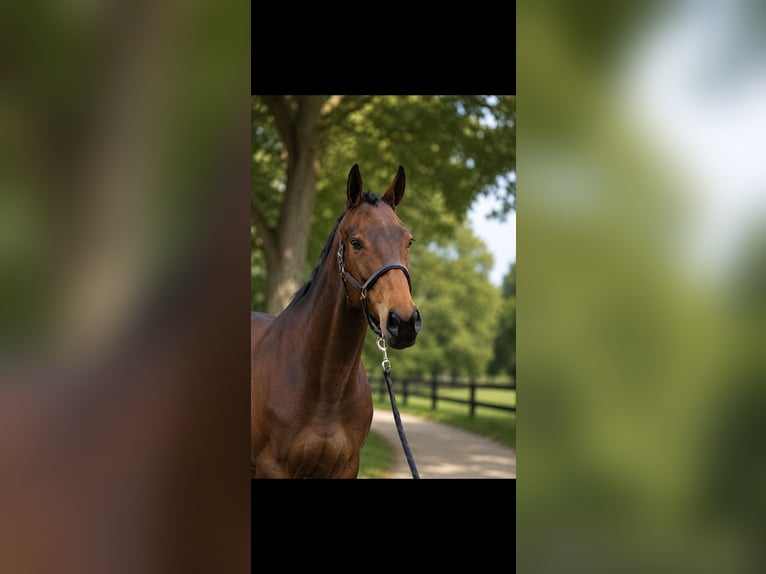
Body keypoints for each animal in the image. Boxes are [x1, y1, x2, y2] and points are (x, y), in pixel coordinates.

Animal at [251, 164, 421, 478]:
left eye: (409, 241)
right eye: (355, 242)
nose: (403, 322)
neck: (325, 387)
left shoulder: (346, 467)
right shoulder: (272, 468)